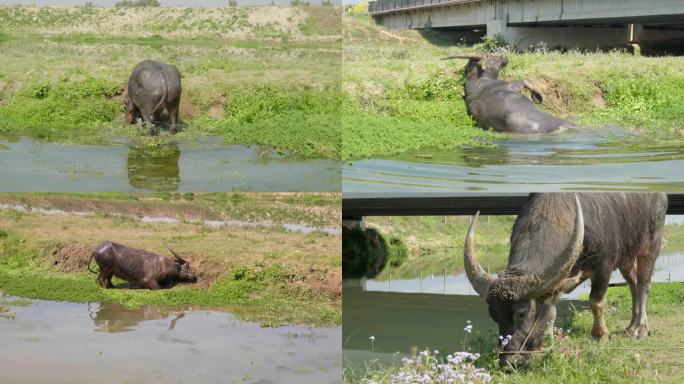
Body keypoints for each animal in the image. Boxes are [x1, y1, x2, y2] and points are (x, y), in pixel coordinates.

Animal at [462, 194, 664, 368]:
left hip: (651, 244)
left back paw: (641, 329)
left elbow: (596, 302)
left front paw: (600, 335)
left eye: (522, 313)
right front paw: (546, 343)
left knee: (644, 284)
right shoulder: (555, 277)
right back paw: (631, 327)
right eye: (494, 315)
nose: (509, 361)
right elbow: (550, 311)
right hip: (627, 256)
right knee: (633, 284)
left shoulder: (603, 266)